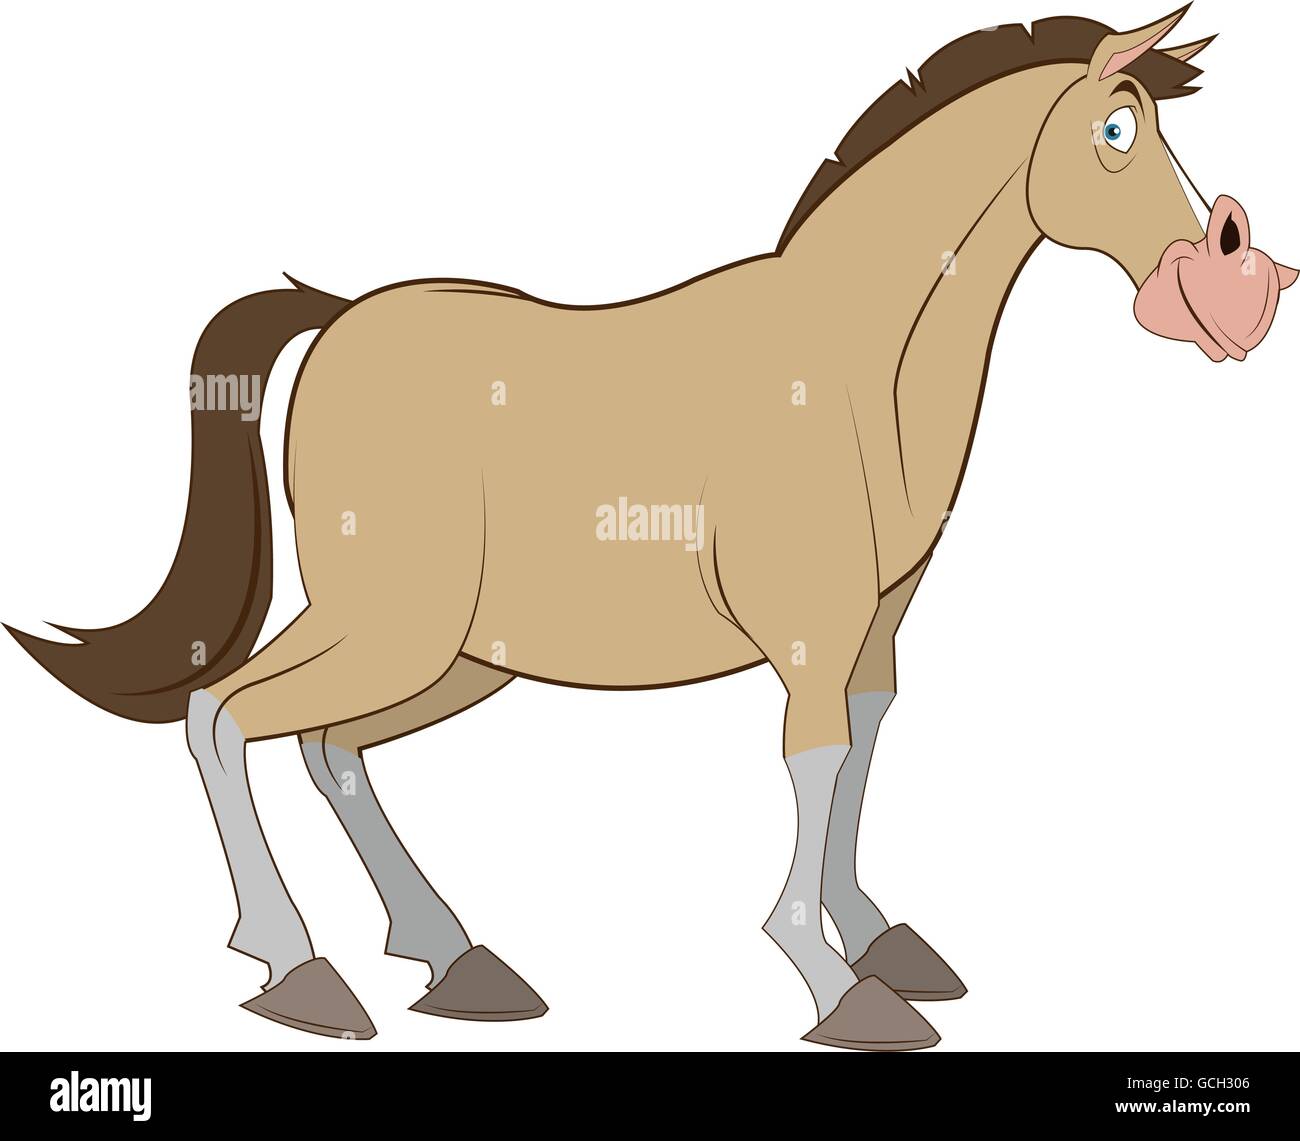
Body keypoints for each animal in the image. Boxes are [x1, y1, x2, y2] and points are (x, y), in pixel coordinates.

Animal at [8, 7, 1294, 1050]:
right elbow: (814, 760)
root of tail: (331, 323)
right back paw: (299, 968)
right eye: (1116, 130)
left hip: (461, 651)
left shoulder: (872, 633)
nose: (1246, 299)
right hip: (393, 624)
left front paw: (879, 939)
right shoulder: (811, 632)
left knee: (334, 748)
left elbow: (863, 743)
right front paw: (837, 982)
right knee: (223, 716)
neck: (850, 365)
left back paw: (456, 958)